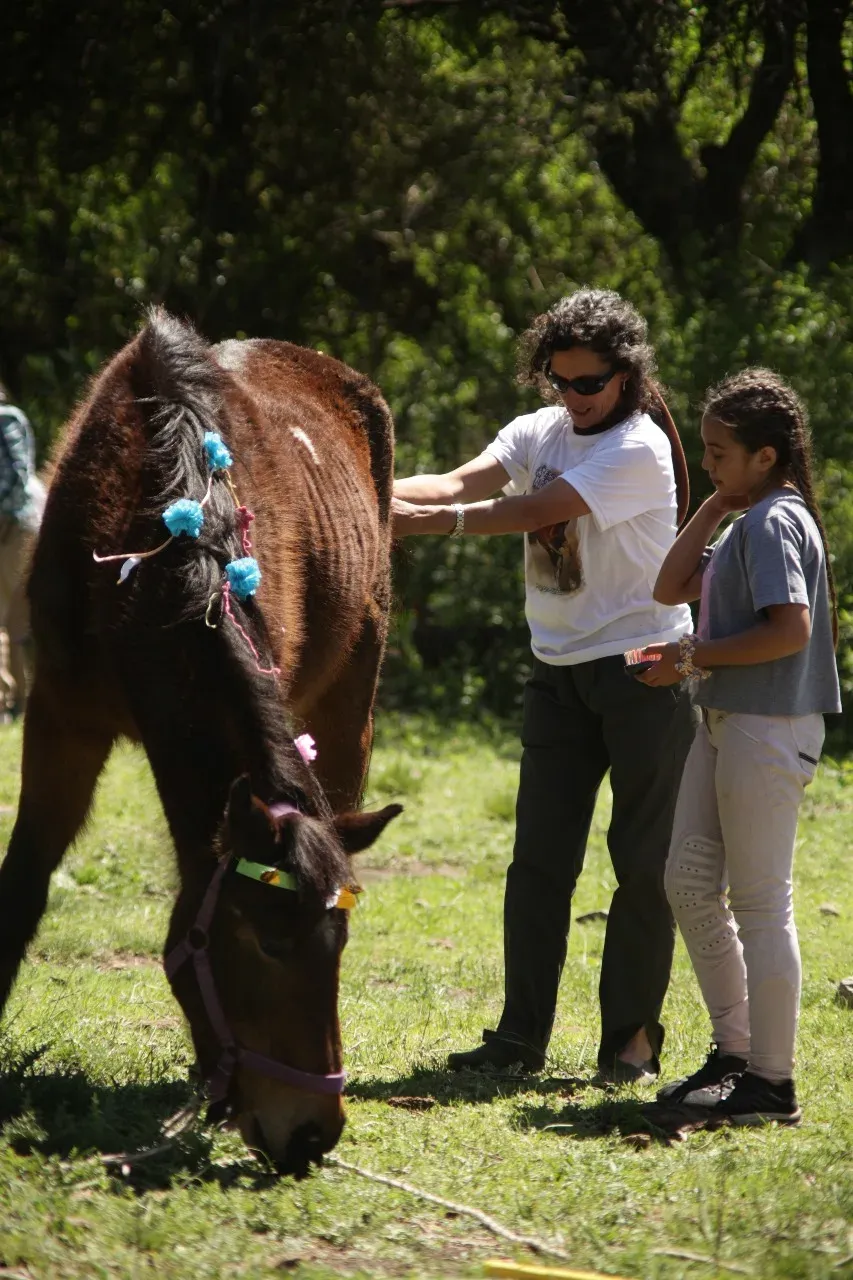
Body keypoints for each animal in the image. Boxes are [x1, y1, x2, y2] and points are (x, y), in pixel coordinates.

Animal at [0, 309, 402, 1175]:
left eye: (340, 943)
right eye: (266, 943)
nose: (313, 1134)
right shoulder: (59, 719)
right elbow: (23, 885)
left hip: (350, 698)